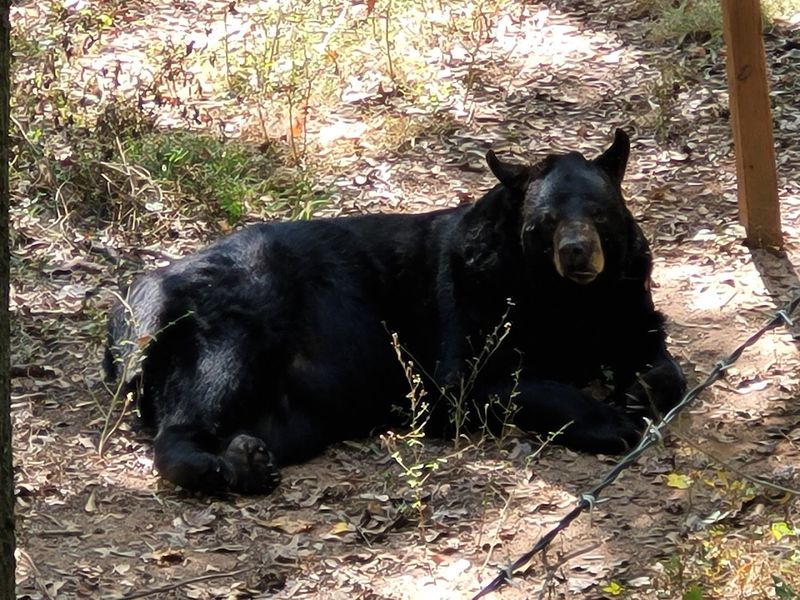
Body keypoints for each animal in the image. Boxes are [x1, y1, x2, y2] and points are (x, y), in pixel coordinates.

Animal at [104, 129, 686, 495]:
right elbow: (490, 382)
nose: (577, 252)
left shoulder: (624, 297)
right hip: (235, 316)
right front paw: (611, 421)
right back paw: (214, 465)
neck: (567, 296)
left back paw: (248, 460)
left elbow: (653, 354)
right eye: (543, 223)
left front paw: (639, 389)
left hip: (299, 407)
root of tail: (153, 284)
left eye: (600, 213)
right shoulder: (474, 306)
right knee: (207, 390)